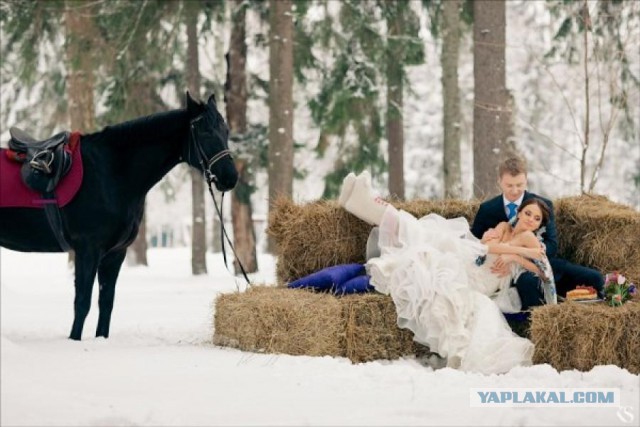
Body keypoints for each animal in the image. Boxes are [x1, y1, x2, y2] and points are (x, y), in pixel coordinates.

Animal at [0, 93, 238, 342]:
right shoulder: (87, 250)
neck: (109, 172)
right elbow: (82, 303)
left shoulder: (115, 253)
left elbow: (106, 303)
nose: (230, 178)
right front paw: (74, 340)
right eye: (205, 132)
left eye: (226, 131)